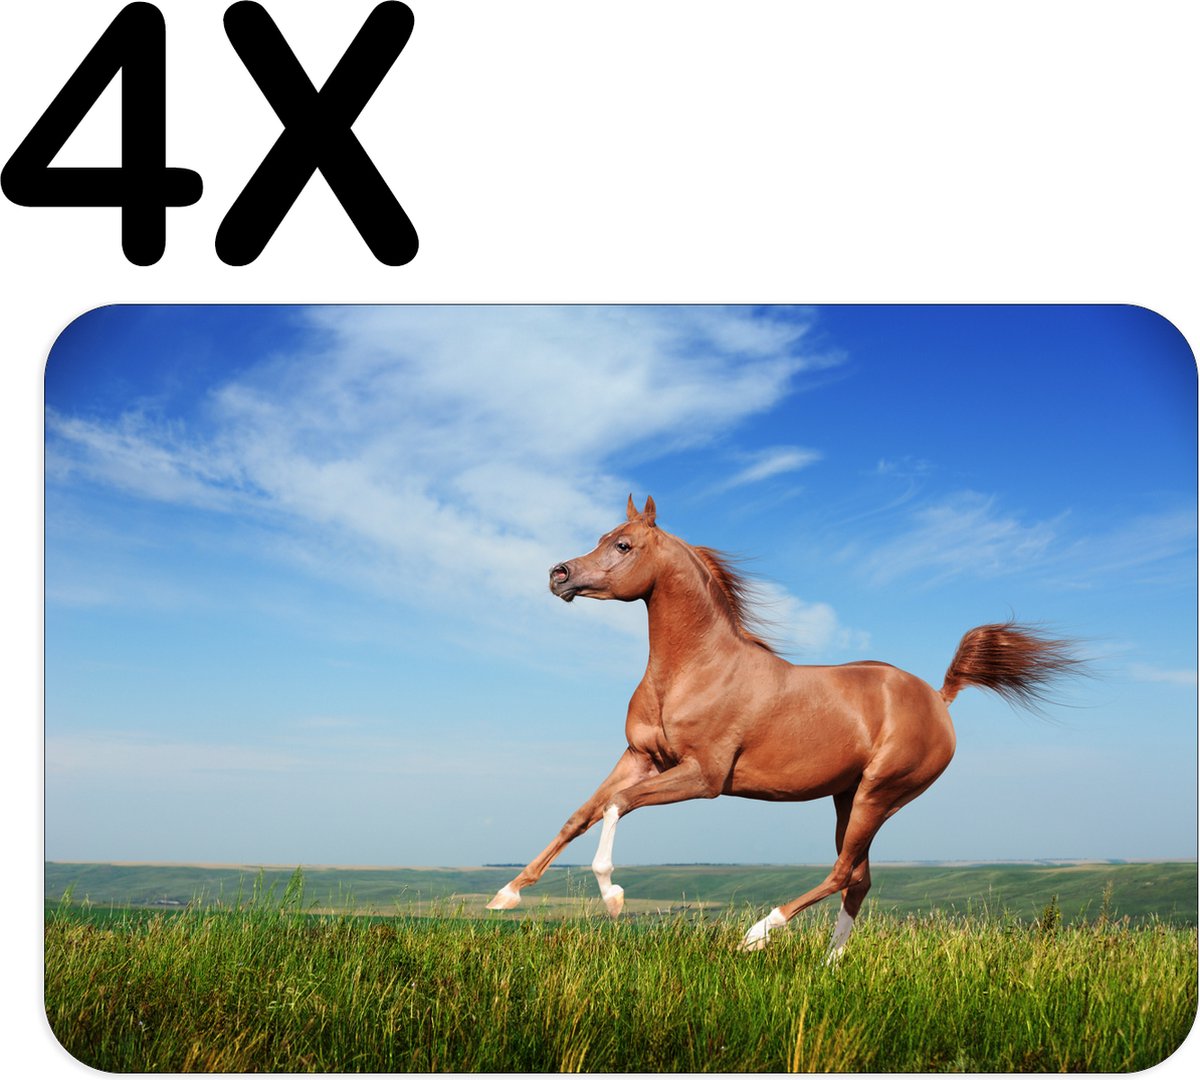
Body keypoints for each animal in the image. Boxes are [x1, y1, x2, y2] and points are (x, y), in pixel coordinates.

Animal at [487, 496, 1083, 956]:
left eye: (624, 546)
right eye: (602, 537)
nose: (558, 575)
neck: (695, 669)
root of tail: (938, 697)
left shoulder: (703, 777)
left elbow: (616, 805)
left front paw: (613, 898)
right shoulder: (640, 757)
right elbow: (579, 814)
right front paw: (506, 895)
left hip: (880, 793)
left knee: (842, 872)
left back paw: (759, 934)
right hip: (849, 797)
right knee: (859, 879)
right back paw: (829, 965)